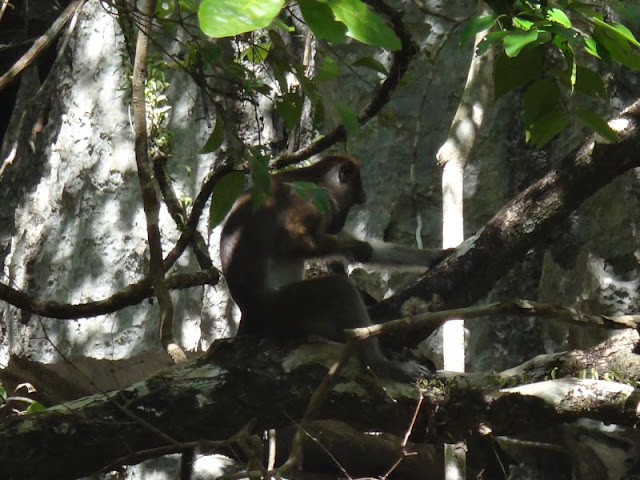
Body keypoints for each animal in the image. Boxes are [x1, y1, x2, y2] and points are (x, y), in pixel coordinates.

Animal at [218, 156, 448, 380]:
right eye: (353, 201)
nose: (340, 221)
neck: (309, 176)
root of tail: (249, 311)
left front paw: (436, 255)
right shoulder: (309, 197)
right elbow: (293, 243)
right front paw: (356, 248)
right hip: (281, 308)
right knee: (338, 287)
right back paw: (379, 365)